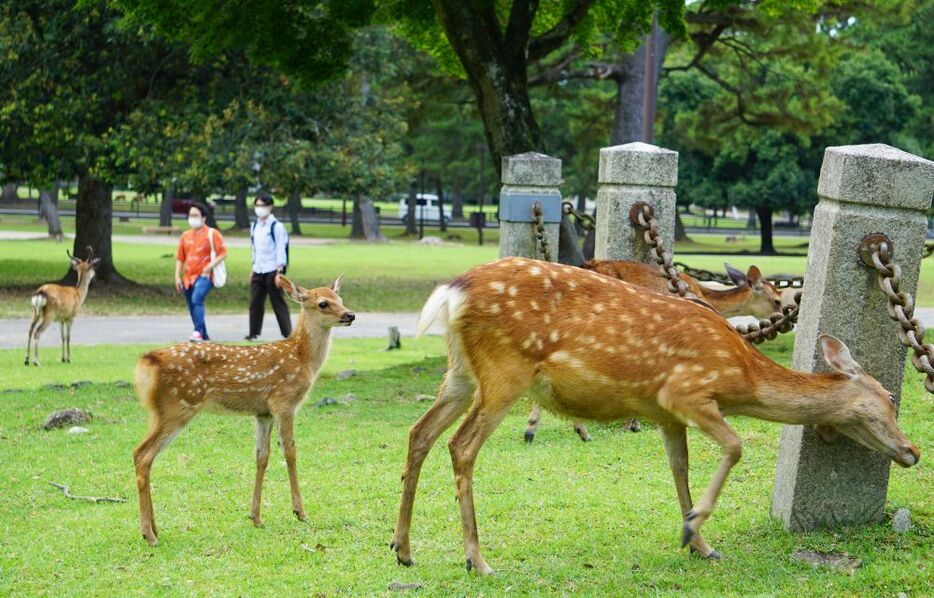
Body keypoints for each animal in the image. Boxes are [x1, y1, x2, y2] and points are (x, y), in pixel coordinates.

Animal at [130, 274, 352, 548]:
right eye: (323, 303)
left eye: (340, 298)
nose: (350, 315)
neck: (303, 359)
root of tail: (148, 362)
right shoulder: (284, 402)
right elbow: (290, 453)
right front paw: (300, 512)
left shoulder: (263, 413)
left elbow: (261, 456)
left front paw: (256, 517)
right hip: (178, 406)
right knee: (142, 454)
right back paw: (148, 534)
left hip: (161, 412)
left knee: (142, 454)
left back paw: (155, 529)